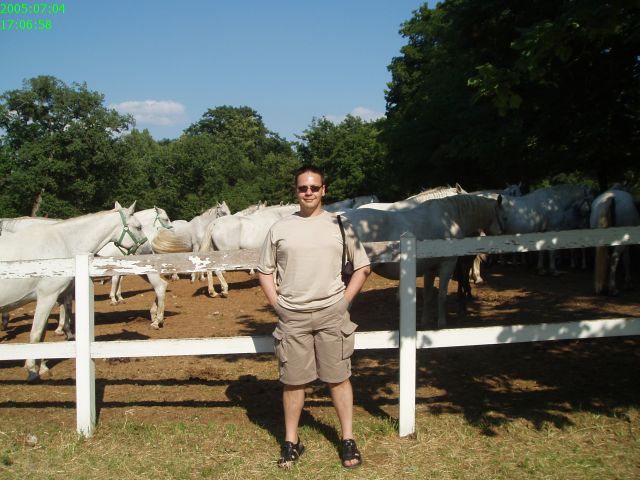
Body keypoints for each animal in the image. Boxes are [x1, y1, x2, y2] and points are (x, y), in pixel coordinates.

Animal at [0, 202, 145, 382]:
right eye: (139, 227)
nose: (144, 248)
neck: (61, 243)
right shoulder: (47, 296)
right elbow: (36, 334)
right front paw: (32, 370)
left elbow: (42, 335)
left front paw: (42, 368)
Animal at [341, 194, 503, 328]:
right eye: (502, 215)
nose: (500, 233)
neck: (449, 217)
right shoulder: (448, 264)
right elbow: (442, 295)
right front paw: (442, 323)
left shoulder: (430, 269)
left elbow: (428, 296)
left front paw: (424, 322)